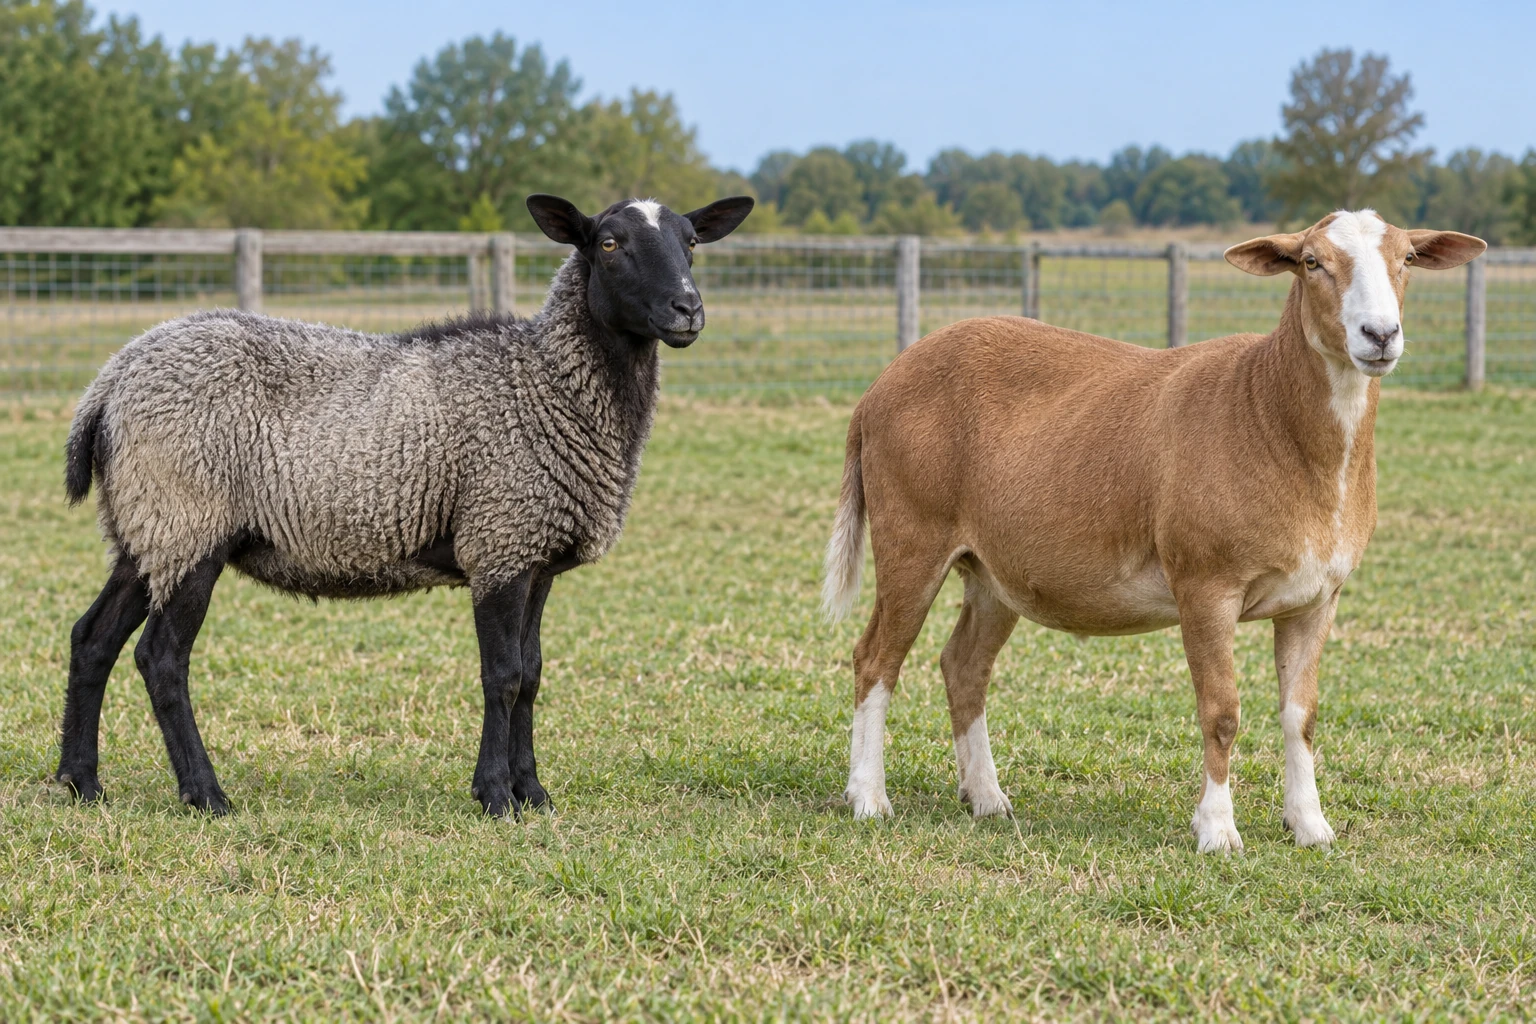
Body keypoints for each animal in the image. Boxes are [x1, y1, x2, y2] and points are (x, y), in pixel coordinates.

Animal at [55, 192, 754, 817]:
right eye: (608, 244)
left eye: (692, 242)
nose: (688, 309)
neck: (543, 384)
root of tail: (110, 382)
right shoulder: (498, 540)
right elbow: (501, 676)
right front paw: (495, 797)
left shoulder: (534, 553)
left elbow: (530, 676)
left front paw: (534, 794)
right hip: (188, 518)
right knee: (161, 659)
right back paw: (205, 795)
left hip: (148, 526)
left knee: (93, 639)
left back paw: (80, 785)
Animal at [822, 210, 1484, 852]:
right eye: (1312, 262)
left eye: (1406, 259)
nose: (1380, 335)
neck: (1269, 414)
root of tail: (878, 388)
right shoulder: (1205, 583)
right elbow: (1221, 712)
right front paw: (1217, 831)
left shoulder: (1318, 596)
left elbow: (1302, 715)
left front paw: (1311, 827)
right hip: (911, 531)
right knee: (875, 660)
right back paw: (868, 799)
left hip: (993, 571)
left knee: (963, 666)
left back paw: (986, 797)